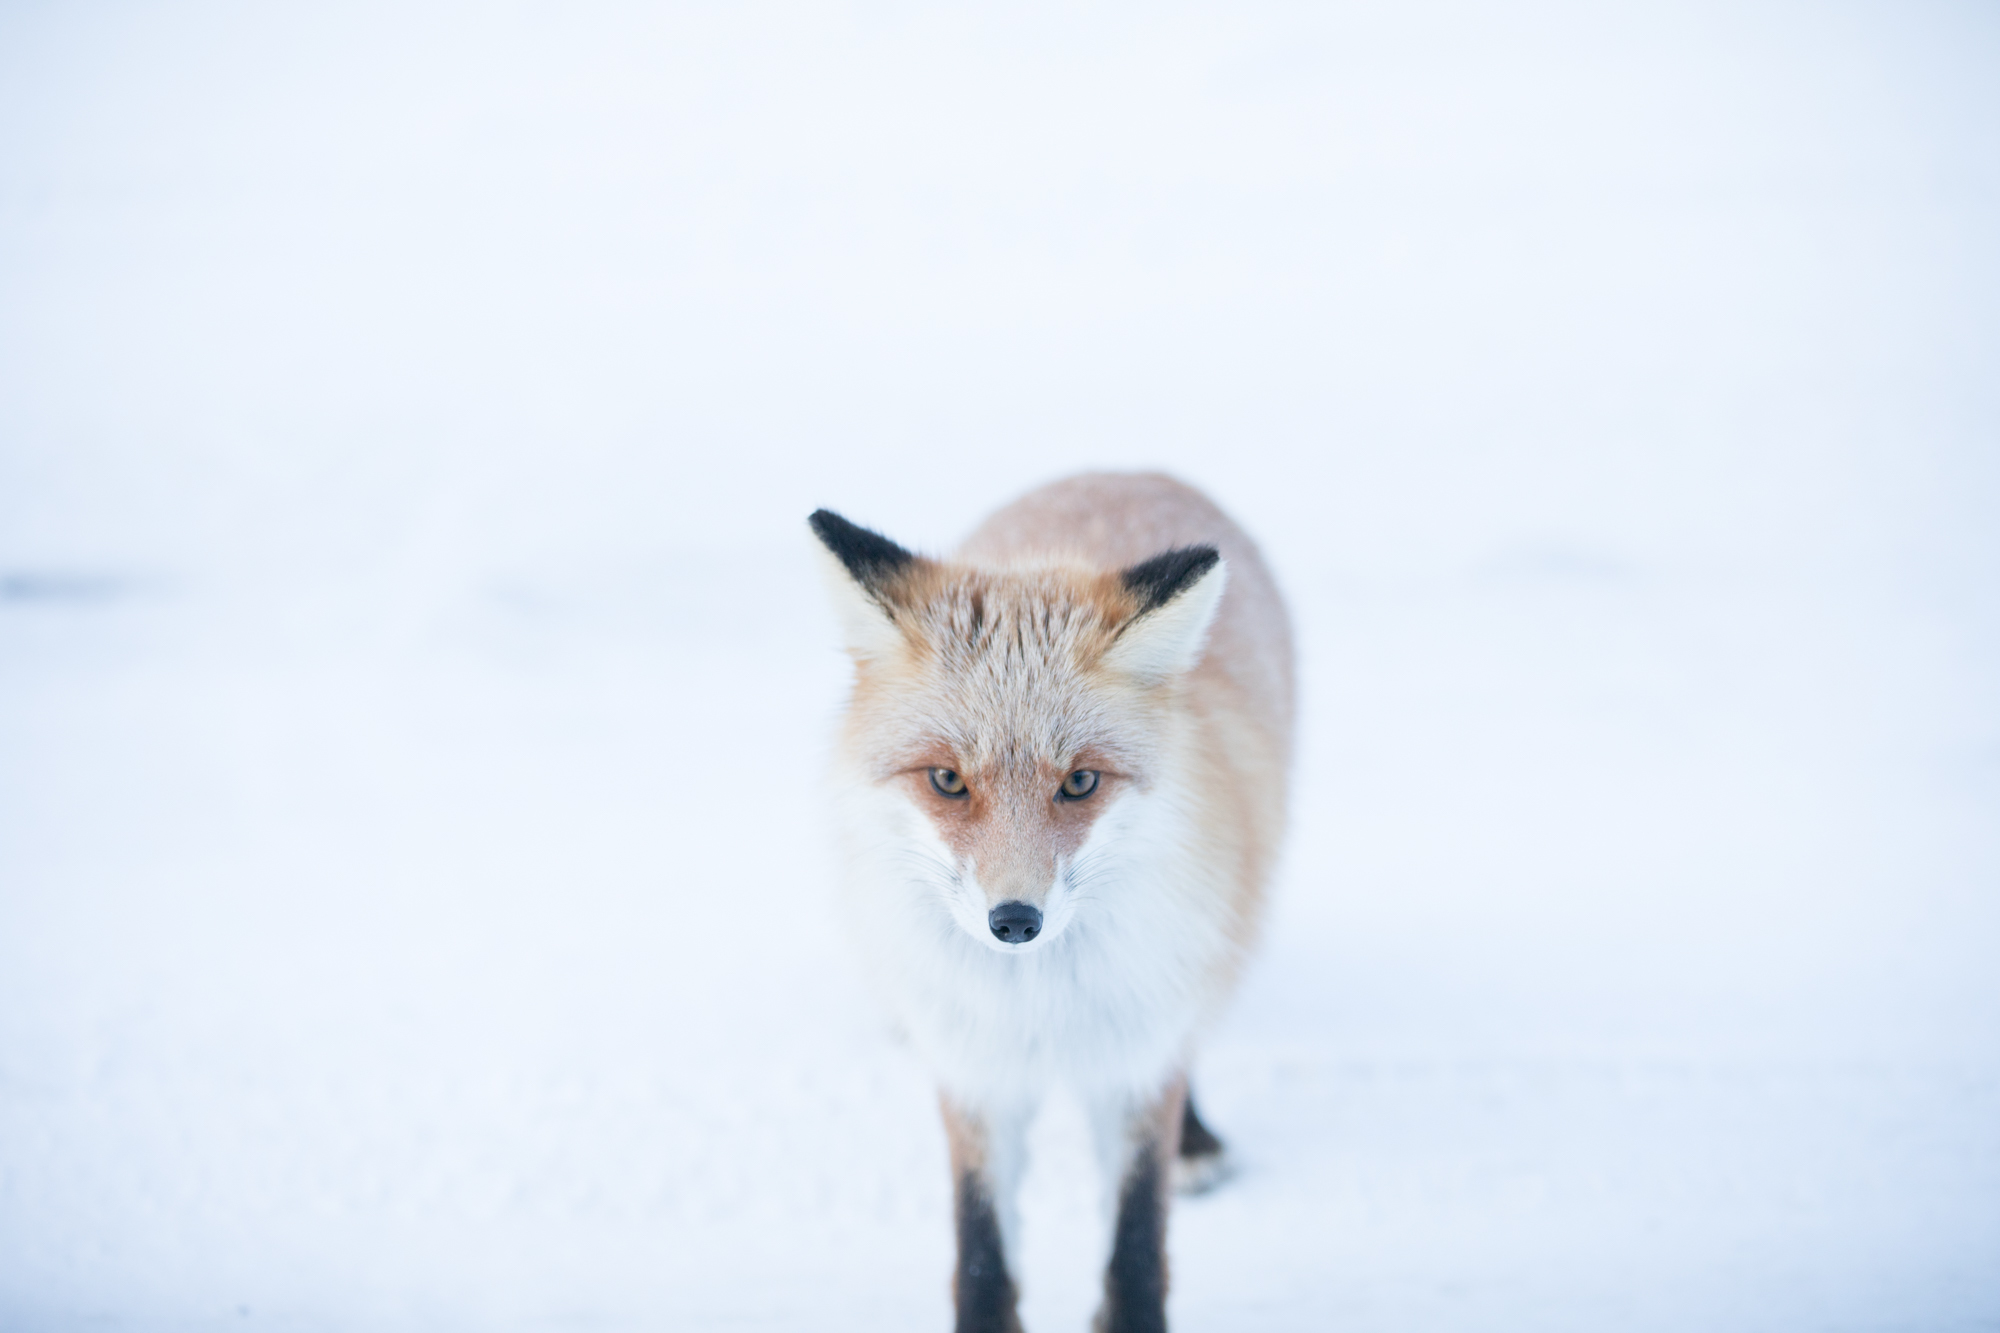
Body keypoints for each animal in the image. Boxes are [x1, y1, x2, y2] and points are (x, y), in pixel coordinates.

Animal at [812, 470, 1296, 1328]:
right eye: (947, 779)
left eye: (1080, 781)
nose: (1014, 921)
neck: (1039, 1005)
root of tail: (1127, 471)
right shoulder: (974, 1069)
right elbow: (981, 1245)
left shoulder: (1138, 1056)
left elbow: (1136, 1239)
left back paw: (1196, 1140)